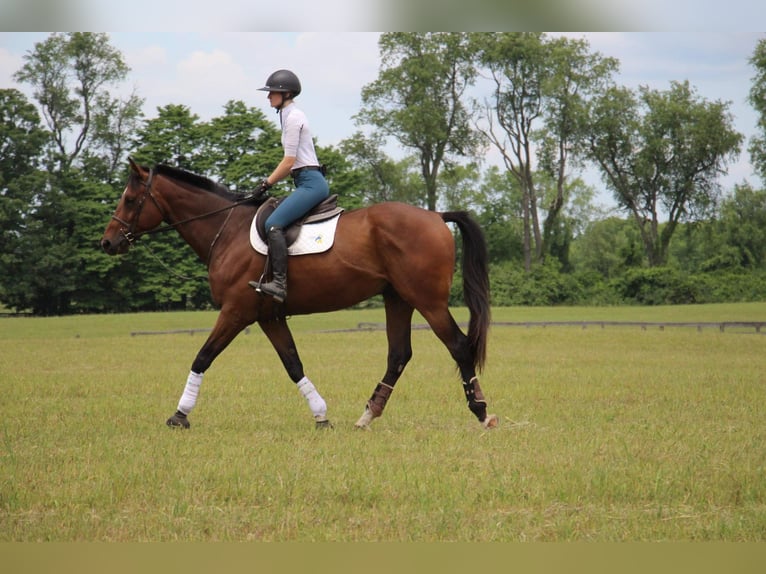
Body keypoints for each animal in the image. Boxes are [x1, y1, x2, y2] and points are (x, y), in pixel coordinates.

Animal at [100, 158, 498, 432]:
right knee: (399, 355)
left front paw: (179, 415)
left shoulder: (236, 312)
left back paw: (481, 411)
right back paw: (367, 415)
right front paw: (321, 417)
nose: (108, 242)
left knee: (458, 346)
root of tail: (436, 216)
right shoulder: (268, 316)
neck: (226, 230)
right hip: (397, 298)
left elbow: (202, 357)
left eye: (130, 199)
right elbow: (293, 364)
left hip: (427, 300)